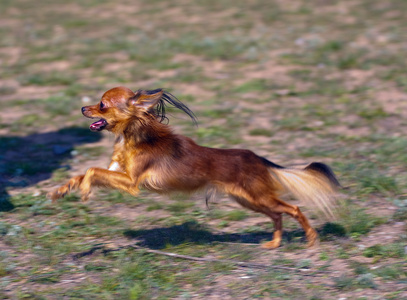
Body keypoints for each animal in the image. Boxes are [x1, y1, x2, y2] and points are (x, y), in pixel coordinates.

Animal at [48, 86, 342, 248]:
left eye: (102, 105)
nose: (83, 107)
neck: (135, 134)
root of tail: (258, 158)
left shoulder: (131, 183)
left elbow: (91, 171)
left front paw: (85, 190)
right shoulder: (118, 172)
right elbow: (83, 172)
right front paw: (61, 190)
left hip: (257, 197)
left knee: (293, 209)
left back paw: (312, 239)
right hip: (249, 200)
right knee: (278, 215)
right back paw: (275, 243)